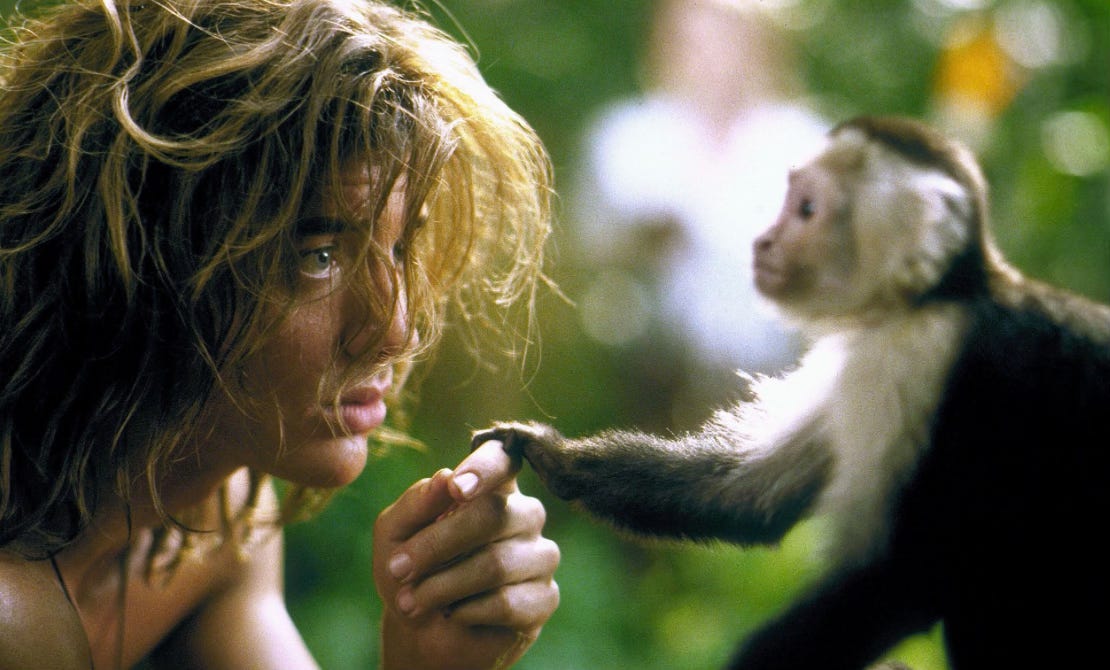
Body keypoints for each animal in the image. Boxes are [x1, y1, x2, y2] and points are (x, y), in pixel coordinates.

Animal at [472, 116, 1110, 670]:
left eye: (807, 209)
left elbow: (900, 579)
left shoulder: (920, 361)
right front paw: (550, 452)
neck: (936, 297)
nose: (763, 240)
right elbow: (746, 495)